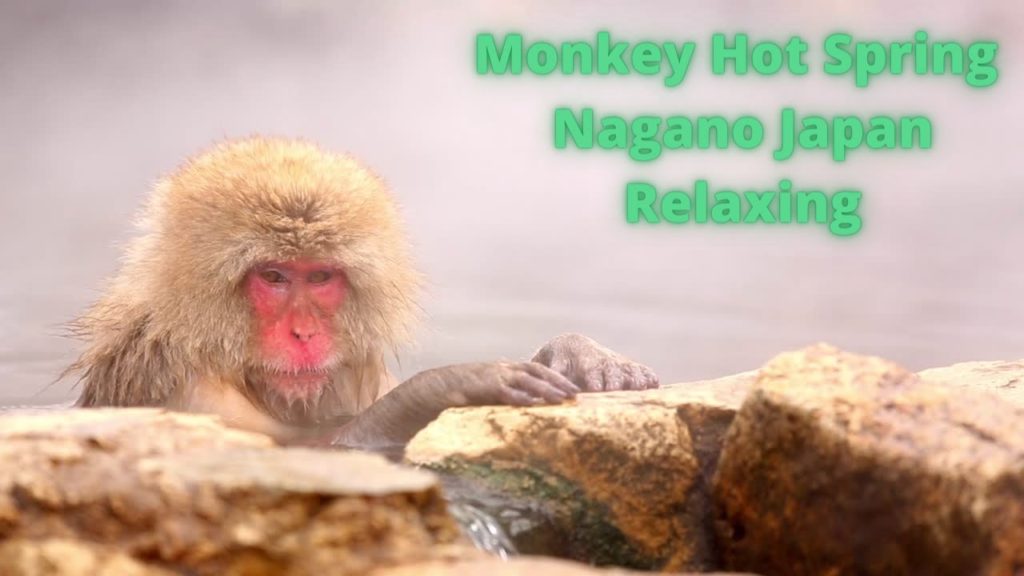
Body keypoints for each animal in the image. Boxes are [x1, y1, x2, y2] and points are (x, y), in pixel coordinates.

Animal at [65, 137, 659, 446]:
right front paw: (450, 383)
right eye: (274, 277)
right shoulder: (191, 394)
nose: (303, 333)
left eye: (320, 277)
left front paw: (577, 352)